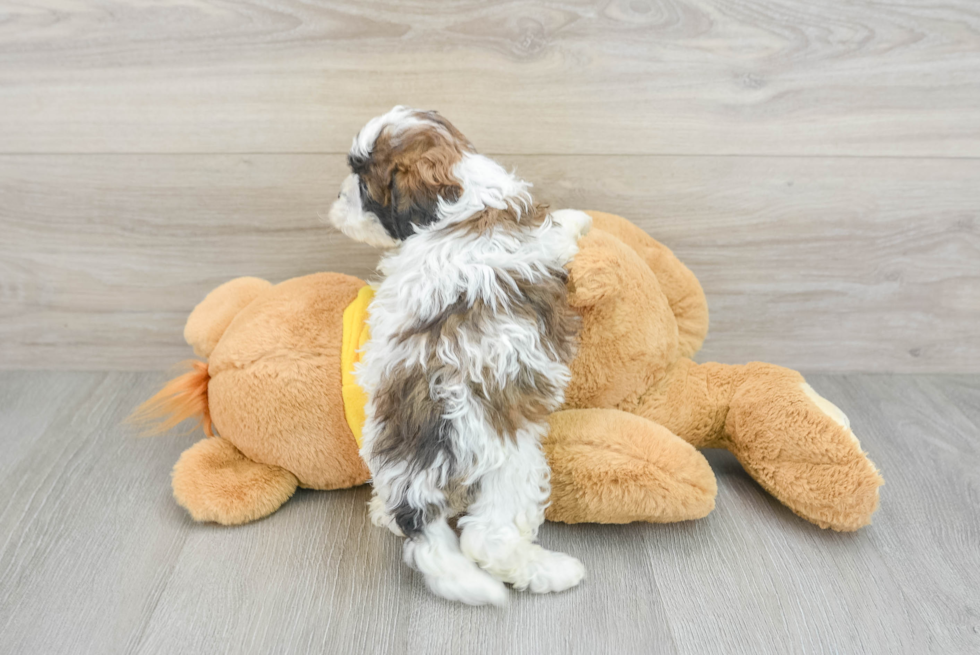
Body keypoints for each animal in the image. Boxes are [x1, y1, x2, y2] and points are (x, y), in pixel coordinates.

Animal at [330, 106, 588, 604]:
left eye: (363, 186)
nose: (337, 197)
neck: (464, 192)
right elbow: (562, 230)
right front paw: (580, 216)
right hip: (509, 458)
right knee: (487, 538)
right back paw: (549, 571)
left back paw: (384, 514)